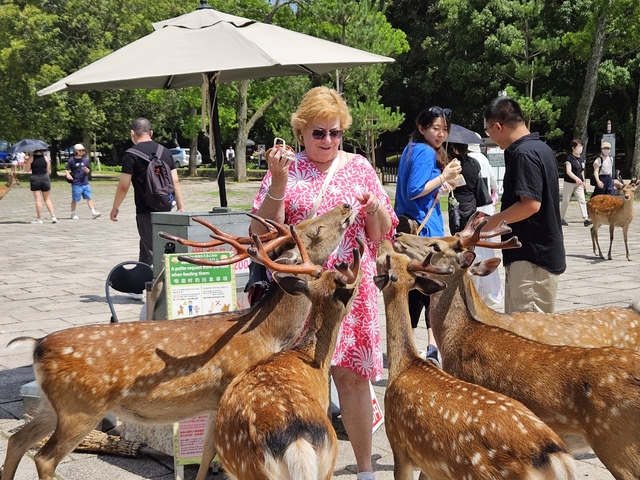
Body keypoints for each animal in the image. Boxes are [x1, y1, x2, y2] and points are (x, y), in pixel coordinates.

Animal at [374, 239, 576, 480]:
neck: (404, 365)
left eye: (381, 260)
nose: (385, 240)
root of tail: (557, 460)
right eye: (399, 259)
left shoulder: (399, 447)